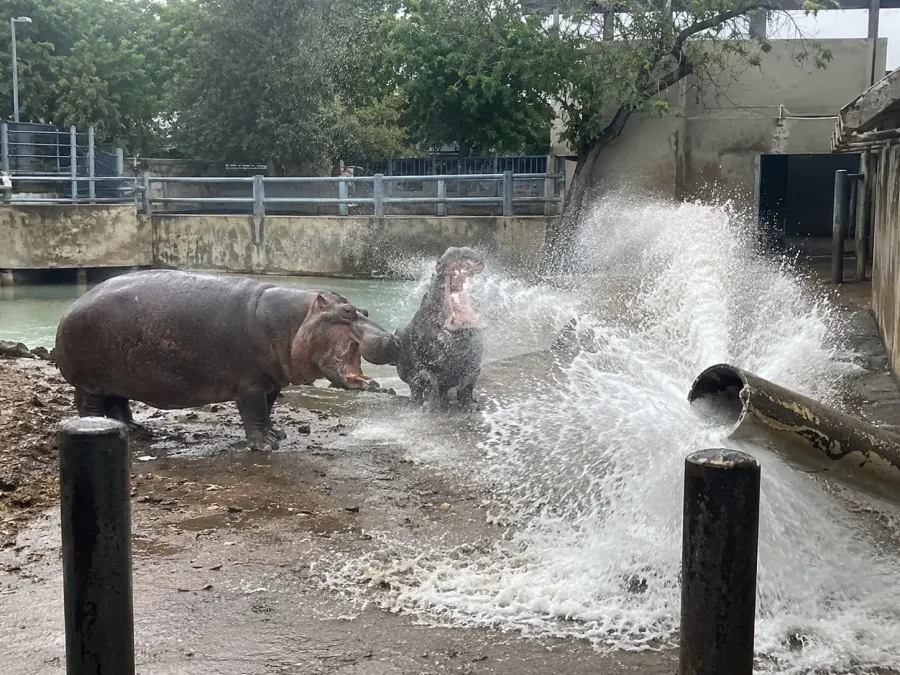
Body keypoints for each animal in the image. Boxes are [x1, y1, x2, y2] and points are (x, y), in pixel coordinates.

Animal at [54, 269, 395, 450]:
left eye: (365, 310)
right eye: (346, 312)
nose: (395, 339)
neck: (295, 321)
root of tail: (72, 306)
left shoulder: (271, 383)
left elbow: (268, 410)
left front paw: (277, 434)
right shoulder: (251, 385)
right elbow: (255, 413)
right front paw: (265, 445)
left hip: (119, 377)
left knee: (119, 402)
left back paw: (134, 428)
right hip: (91, 381)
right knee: (91, 405)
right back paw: (100, 425)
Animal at [396, 247, 485, 408]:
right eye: (437, 264)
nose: (456, 248)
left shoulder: (474, 364)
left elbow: (467, 385)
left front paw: (471, 406)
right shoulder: (423, 365)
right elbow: (429, 382)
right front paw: (431, 407)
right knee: (415, 386)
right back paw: (418, 402)